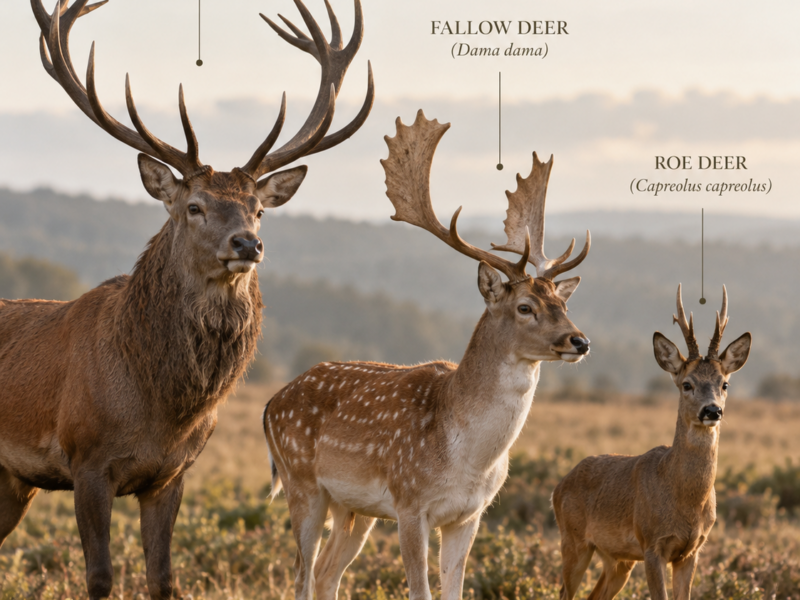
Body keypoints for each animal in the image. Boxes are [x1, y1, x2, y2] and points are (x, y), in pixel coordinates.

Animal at [0, 1, 372, 599]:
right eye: (194, 206)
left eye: (258, 209)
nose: (247, 244)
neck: (160, 405)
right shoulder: (86, 461)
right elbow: (100, 577)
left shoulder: (170, 474)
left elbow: (163, 579)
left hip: (12, 480)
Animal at [262, 110, 592, 600]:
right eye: (524, 307)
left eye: (562, 303)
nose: (579, 341)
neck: (469, 459)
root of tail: (270, 404)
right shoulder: (409, 502)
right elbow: (420, 590)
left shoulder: (469, 515)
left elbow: (454, 589)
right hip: (300, 483)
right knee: (301, 575)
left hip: (351, 508)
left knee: (325, 573)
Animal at [552, 285, 752, 600]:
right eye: (687, 384)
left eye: (725, 384)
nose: (712, 410)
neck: (685, 499)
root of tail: (558, 487)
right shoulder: (651, 544)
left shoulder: (691, 551)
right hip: (573, 539)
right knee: (565, 592)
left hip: (617, 559)